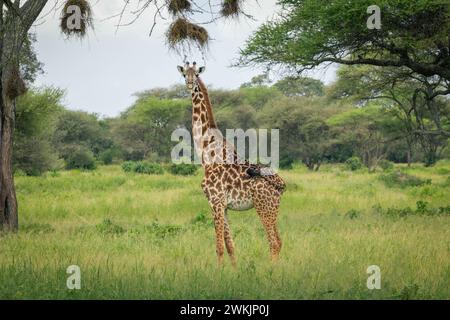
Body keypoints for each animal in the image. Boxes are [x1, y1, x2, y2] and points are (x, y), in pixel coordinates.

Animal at [177, 62, 284, 264]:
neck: (207, 153)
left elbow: (219, 247)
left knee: (273, 243)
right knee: (280, 241)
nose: (189, 84)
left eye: (196, 74)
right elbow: (230, 246)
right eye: (184, 74)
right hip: (273, 209)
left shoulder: (215, 202)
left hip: (263, 207)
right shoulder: (224, 206)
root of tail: (281, 184)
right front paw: (234, 270)